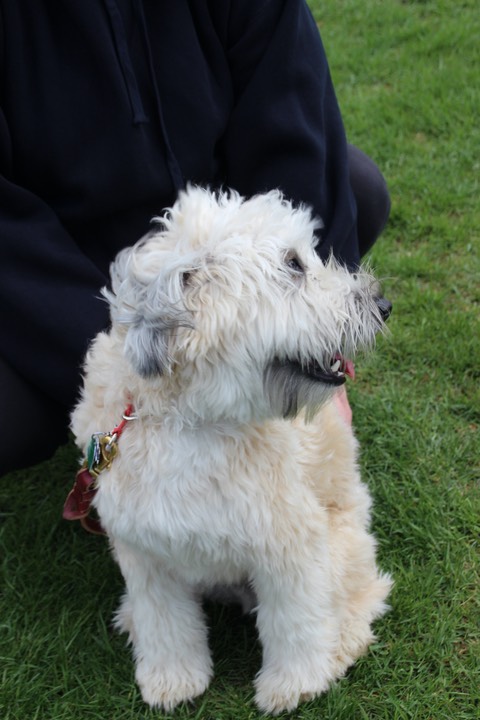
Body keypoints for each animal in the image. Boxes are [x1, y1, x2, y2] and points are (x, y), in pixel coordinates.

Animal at [72, 186, 394, 716]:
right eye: (293, 265)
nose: (383, 304)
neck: (197, 421)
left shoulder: (290, 545)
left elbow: (295, 622)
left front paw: (294, 685)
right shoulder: (145, 552)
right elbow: (166, 624)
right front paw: (172, 679)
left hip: (344, 546)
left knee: (364, 596)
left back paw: (342, 641)